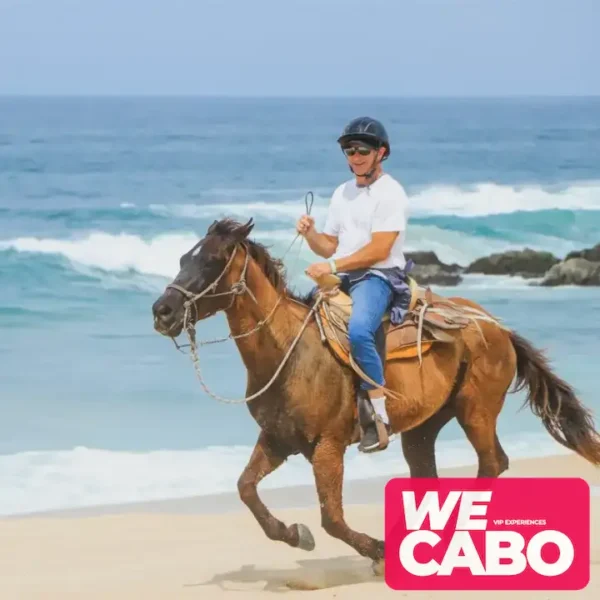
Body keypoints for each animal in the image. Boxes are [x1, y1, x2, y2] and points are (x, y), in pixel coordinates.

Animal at [150, 217, 600, 572]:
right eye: (182, 259)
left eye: (211, 260)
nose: (162, 311)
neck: (290, 350)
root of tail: (495, 326)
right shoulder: (278, 440)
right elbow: (246, 489)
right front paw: (294, 533)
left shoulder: (328, 446)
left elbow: (332, 518)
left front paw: (376, 551)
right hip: (424, 427)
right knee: (430, 474)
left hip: (476, 411)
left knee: (492, 463)